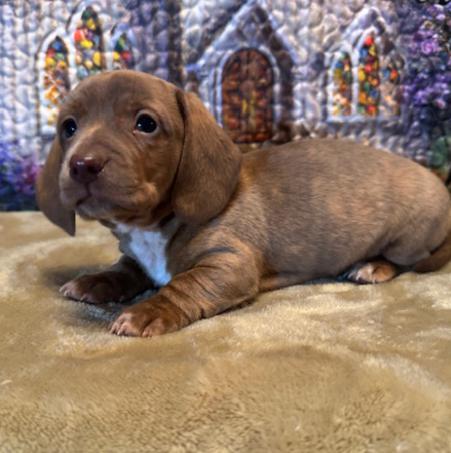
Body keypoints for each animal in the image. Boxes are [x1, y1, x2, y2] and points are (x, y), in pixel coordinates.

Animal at [37, 70, 451, 337]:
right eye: (69, 127)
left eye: (146, 123)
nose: (82, 164)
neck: (154, 226)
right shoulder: (137, 258)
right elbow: (124, 270)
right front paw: (95, 281)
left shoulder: (228, 264)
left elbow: (183, 285)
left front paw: (148, 311)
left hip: (407, 237)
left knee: (406, 260)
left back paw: (373, 266)